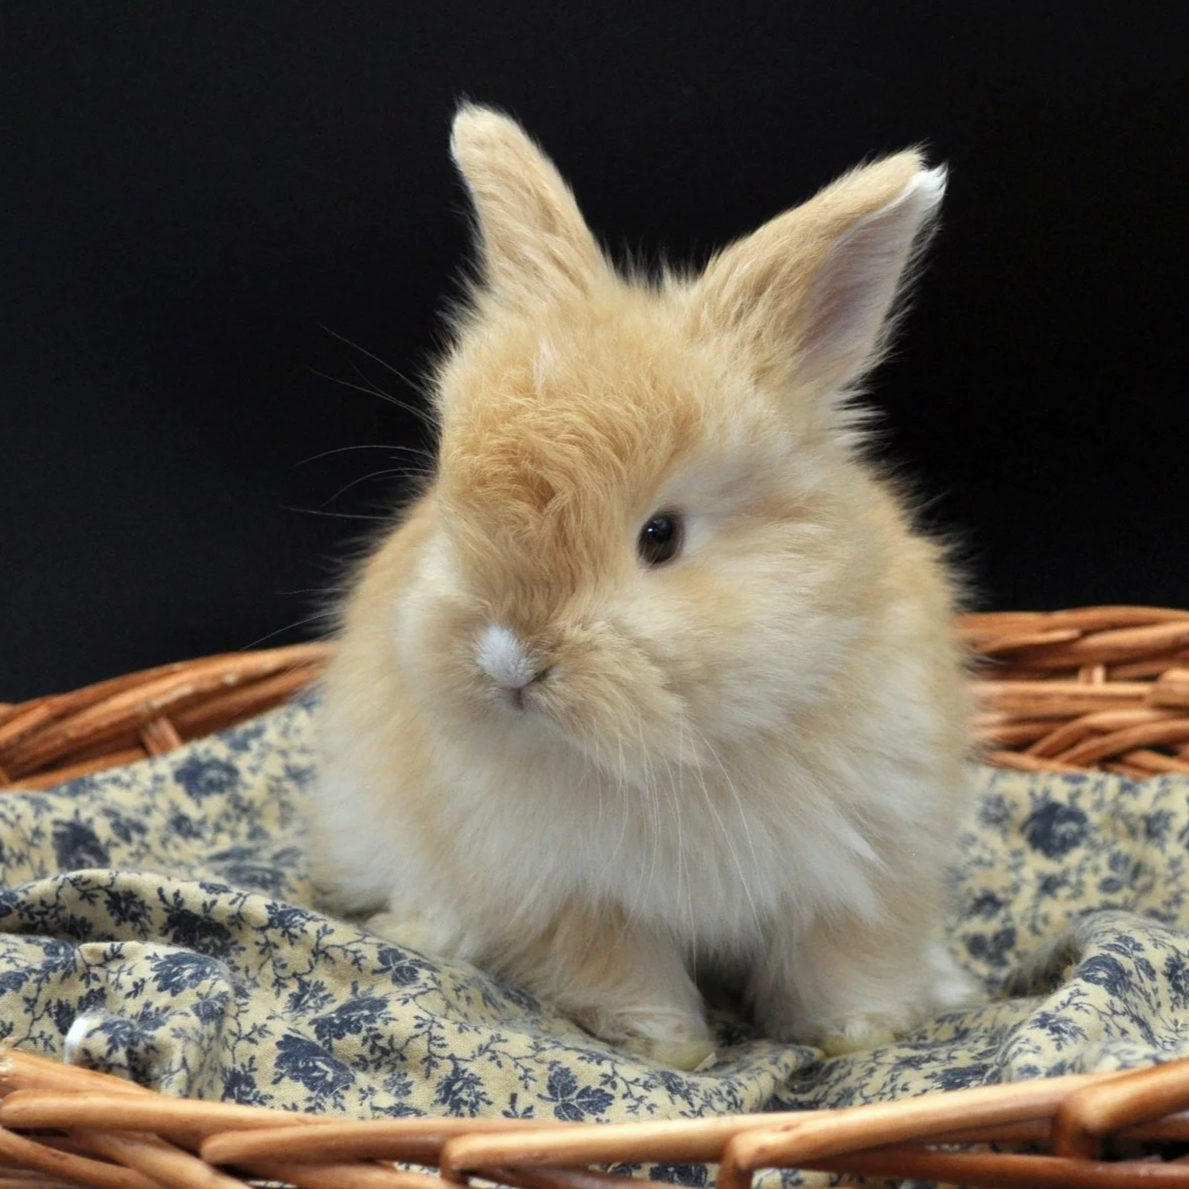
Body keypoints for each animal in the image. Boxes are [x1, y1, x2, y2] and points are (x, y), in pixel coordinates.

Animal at [311, 104, 976, 1071]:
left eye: (659, 536)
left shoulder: (860, 868)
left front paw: (861, 1033)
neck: (677, 753)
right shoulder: (573, 893)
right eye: (450, 492)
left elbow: (845, 962)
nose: (507, 661)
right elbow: (620, 972)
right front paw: (671, 1049)